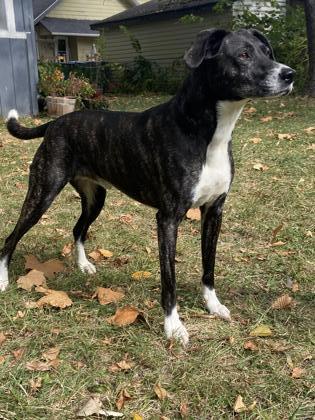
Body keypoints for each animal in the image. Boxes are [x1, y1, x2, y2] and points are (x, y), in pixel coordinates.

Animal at [1, 29, 296, 344]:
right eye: (243, 54)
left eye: (267, 52)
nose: (289, 74)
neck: (205, 131)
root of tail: (55, 123)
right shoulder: (168, 219)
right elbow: (169, 279)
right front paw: (173, 326)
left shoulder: (214, 212)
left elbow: (209, 265)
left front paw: (213, 305)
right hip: (42, 192)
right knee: (11, 237)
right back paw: (4, 279)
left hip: (95, 198)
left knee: (78, 229)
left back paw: (83, 265)